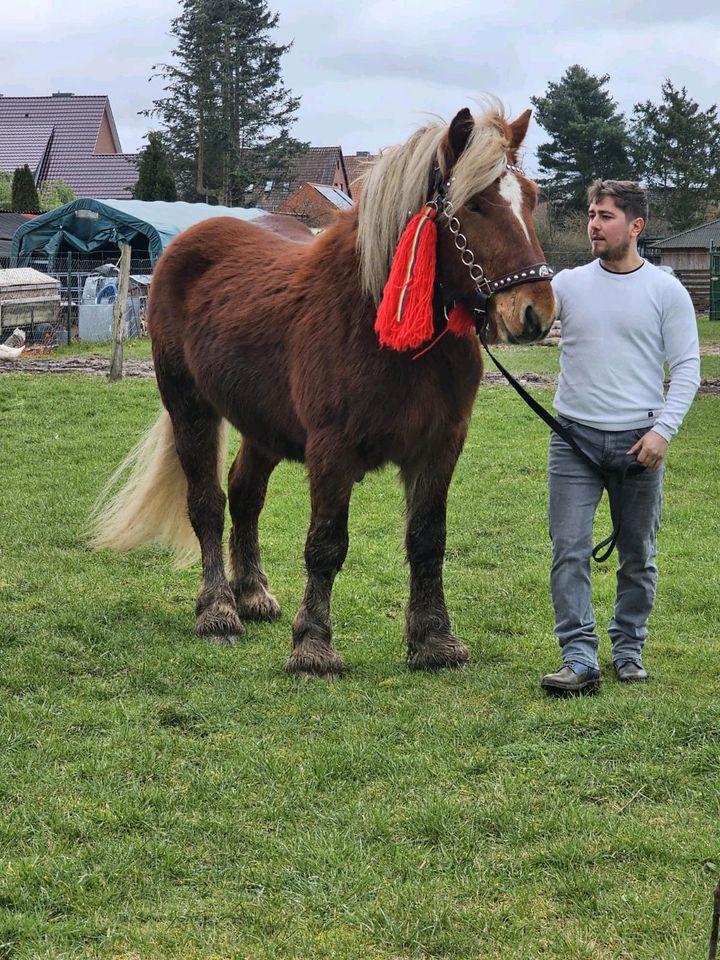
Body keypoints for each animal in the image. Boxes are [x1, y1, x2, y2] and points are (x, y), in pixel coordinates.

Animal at [88, 103, 552, 676]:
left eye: (530, 198)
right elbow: (326, 545)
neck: (381, 322)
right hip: (189, 408)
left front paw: (434, 641)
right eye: (477, 204)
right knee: (207, 503)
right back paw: (218, 610)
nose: (535, 313)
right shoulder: (332, 450)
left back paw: (252, 593)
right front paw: (312, 646)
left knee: (245, 494)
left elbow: (428, 540)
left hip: (261, 424)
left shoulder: (440, 447)